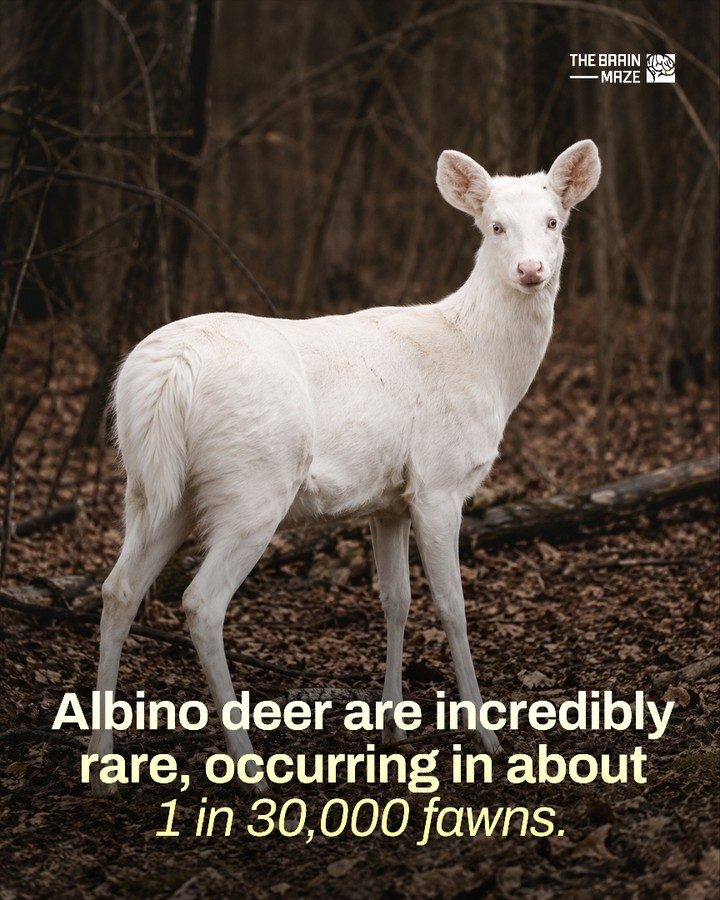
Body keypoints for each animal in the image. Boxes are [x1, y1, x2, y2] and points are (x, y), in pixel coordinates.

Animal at [88, 140, 601, 796]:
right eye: (495, 226)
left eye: (554, 222)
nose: (531, 270)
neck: (484, 362)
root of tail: (167, 372)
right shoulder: (439, 481)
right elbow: (452, 604)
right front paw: (487, 737)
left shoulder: (390, 500)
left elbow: (395, 599)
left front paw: (394, 727)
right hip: (254, 482)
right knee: (202, 602)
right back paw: (250, 768)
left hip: (152, 485)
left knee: (118, 588)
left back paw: (101, 766)